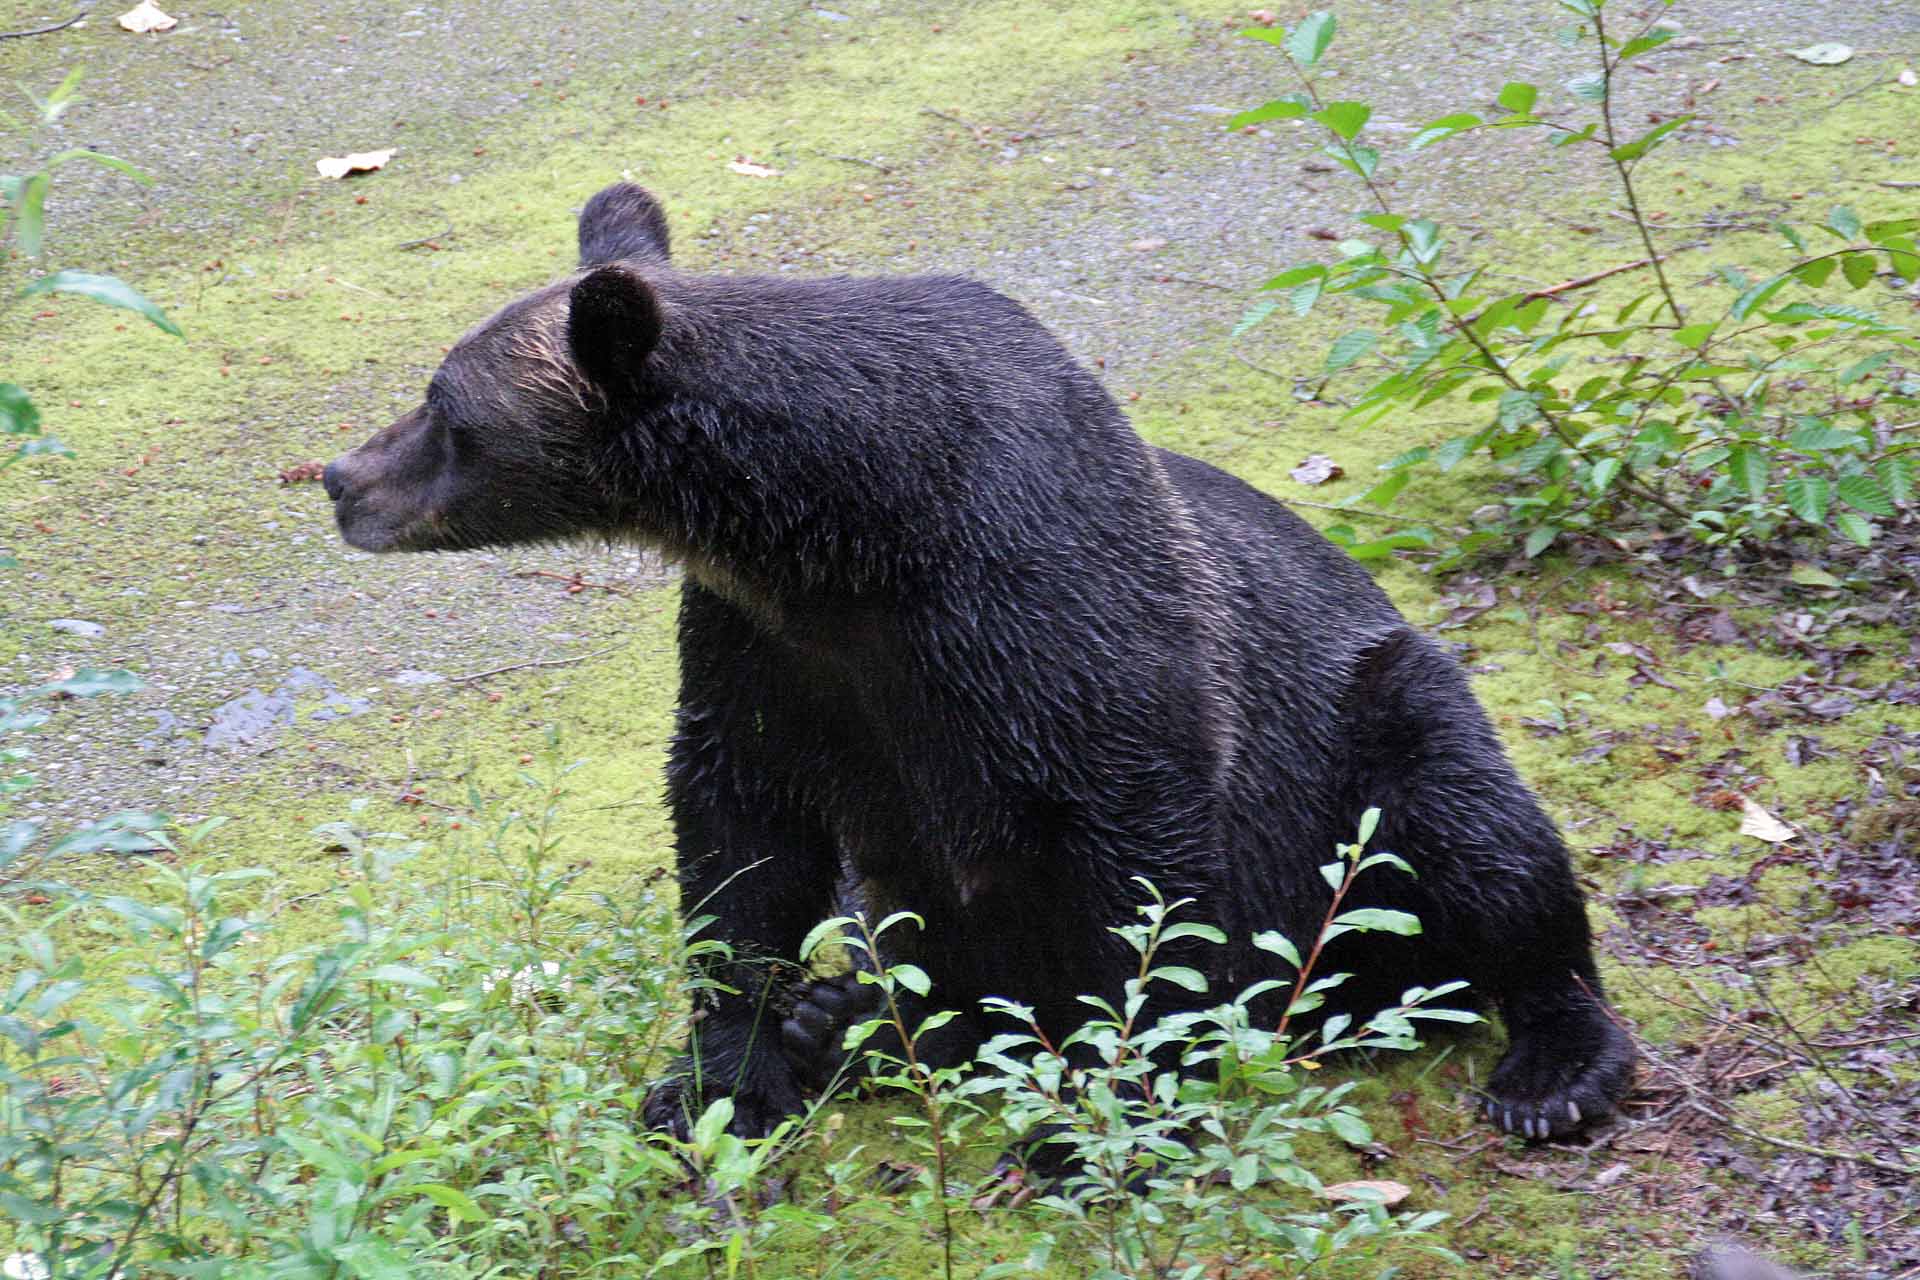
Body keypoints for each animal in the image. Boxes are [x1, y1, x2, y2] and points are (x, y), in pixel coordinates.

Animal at [322, 181, 1635, 1149]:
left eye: (445, 409)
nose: (339, 478)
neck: (840, 528)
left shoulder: (1053, 621)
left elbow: (1135, 869)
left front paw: (1104, 1121)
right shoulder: (771, 650)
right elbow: (739, 836)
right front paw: (722, 1075)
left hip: (1374, 723)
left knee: (1473, 837)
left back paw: (1551, 1063)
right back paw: (840, 1016)